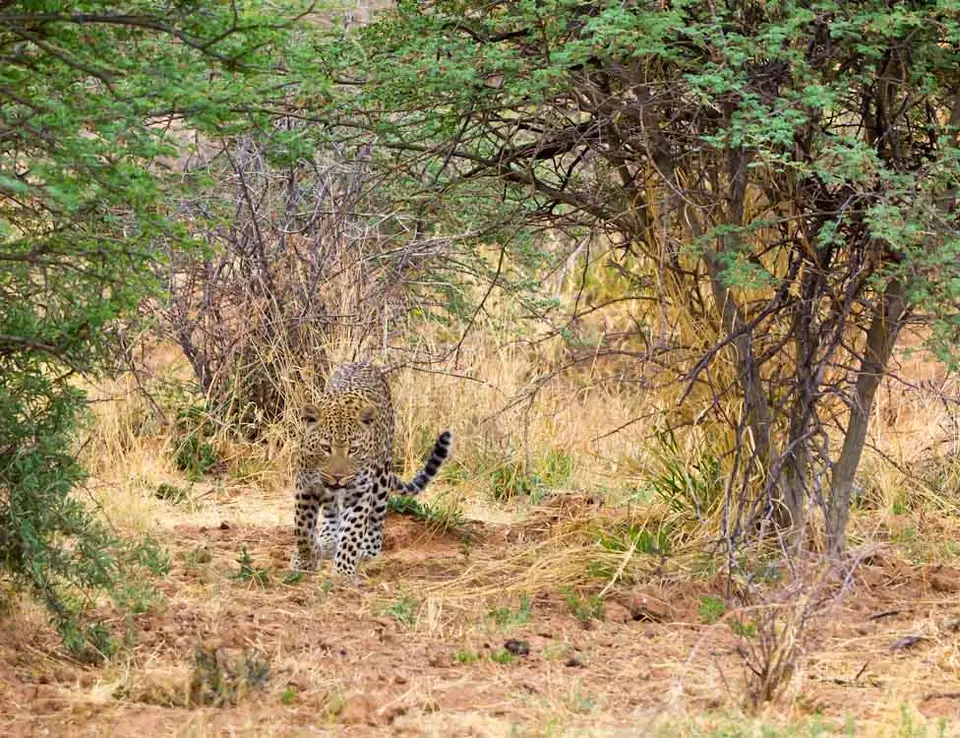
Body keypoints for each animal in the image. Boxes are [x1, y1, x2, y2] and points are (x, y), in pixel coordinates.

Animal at [290, 362, 452, 577]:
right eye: (325, 447)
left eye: (353, 450)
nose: (337, 477)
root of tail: (365, 363)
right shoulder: (305, 486)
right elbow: (302, 527)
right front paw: (306, 558)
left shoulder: (359, 493)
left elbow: (352, 534)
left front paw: (343, 573)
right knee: (331, 510)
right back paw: (328, 540)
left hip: (382, 476)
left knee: (376, 516)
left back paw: (369, 551)